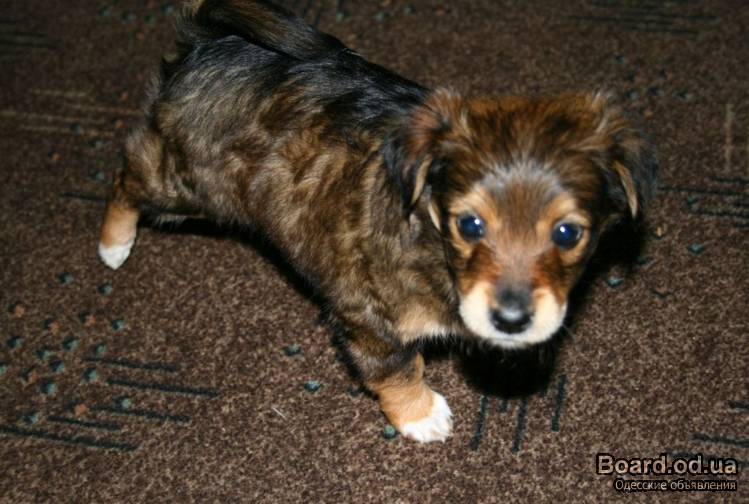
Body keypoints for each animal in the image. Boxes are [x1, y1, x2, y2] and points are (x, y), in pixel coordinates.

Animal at [98, 0, 657, 442]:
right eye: (470, 226)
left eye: (568, 233)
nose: (512, 320)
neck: (429, 235)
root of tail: (206, 43)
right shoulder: (369, 319)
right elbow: (397, 370)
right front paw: (420, 415)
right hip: (186, 184)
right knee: (127, 175)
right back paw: (114, 244)